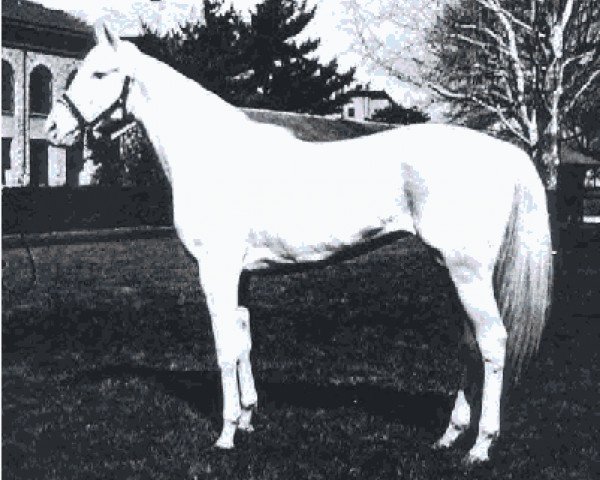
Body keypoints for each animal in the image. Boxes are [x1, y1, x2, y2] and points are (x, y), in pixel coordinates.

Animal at [45, 23, 552, 464]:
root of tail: (503, 151)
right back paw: (449, 435)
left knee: (492, 341)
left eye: (99, 73)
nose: (52, 129)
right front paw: (248, 418)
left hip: (467, 271)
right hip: (452, 269)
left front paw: (226, 434)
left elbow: (224, 348)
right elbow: (244, 340)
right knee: (470, 342)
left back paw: (480, 445)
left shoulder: (216, 271)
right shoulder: (241, 276)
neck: (210, 152)